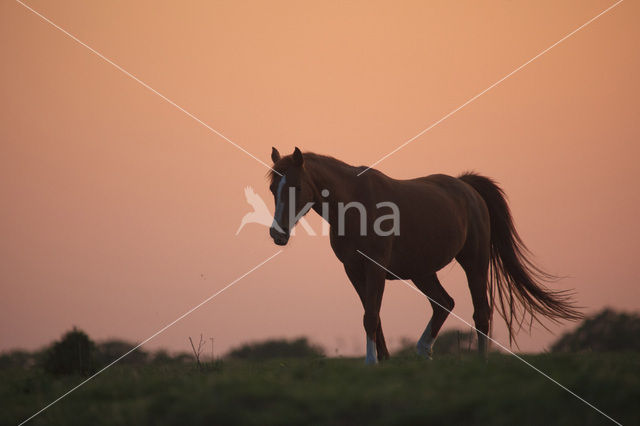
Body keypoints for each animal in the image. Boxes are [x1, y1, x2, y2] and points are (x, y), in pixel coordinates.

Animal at [268, 146, 584, 362]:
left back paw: (479, 362)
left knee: (481, 312)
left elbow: (370, 316)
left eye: (296, 187)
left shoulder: (375, 267)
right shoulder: (354, 271)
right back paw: (423, 351)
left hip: (475, 262)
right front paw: (383, 361)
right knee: (443, 303)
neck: (355, 205)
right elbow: (374, 316)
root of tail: (466, 187)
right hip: (422, 272)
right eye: (273, 188)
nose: (277, 234)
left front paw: (371, 363)